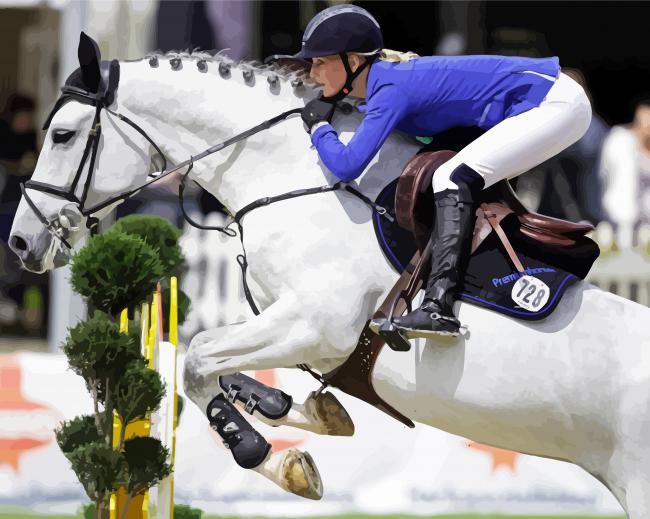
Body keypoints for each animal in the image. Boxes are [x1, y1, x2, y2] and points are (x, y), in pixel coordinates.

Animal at [9, 35, 646, 517]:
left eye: (62, 135)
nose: (21, 242)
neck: (292, 174)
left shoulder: (320, 324)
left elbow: (198, 360)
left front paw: (271, 457)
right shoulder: (296, 328)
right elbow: (213, 360)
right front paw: (300, 410)